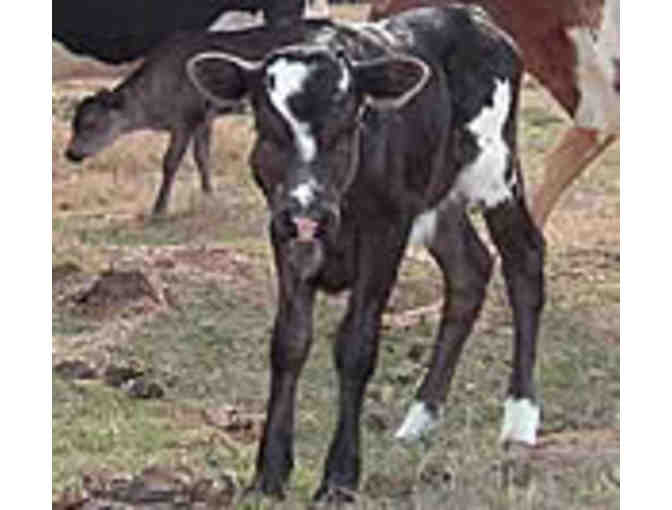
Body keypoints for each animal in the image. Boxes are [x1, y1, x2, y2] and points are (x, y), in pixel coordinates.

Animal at [186, 5, 544, 502]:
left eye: (346, 128)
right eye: (268, 130)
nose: (308, 212)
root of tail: (471, 16)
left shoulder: (386, 230)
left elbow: (356, 346)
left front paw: (339, 477)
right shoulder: (283, 231)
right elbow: (289, 342)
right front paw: (270, 473)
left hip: (495, 170)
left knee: (524, 261)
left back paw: (520, 421)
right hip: (436, 198)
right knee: (470, 269)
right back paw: (420, 418)